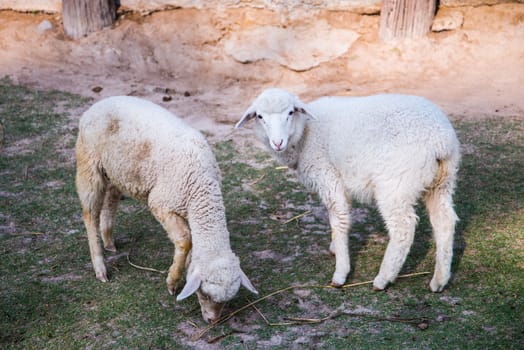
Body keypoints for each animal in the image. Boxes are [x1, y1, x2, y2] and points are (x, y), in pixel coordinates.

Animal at [76, 95, 258, 322]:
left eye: (226, 301)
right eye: (204, 294)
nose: (212, 321)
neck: (201, 188)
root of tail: (100, 103)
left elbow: (191, 243)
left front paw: (185, 268)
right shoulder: (161, 202)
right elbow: (185, 239)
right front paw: (172, 282)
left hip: (117, 169)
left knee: (111, 197)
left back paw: (109, 240)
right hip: (89, 164)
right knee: (90, 213)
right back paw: (100, 267)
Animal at [235, 88, 460, 292]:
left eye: (290, 112)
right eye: (260, 117)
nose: (277, 143)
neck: (306, 132)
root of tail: (440, 141)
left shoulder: (328, 176)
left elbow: (339, 220)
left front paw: (340, 273)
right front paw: (335, 247)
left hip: (395, 185)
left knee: (403, 228)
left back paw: (383, 279)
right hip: (441, 182)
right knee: (445, 221)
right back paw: (440, 280)